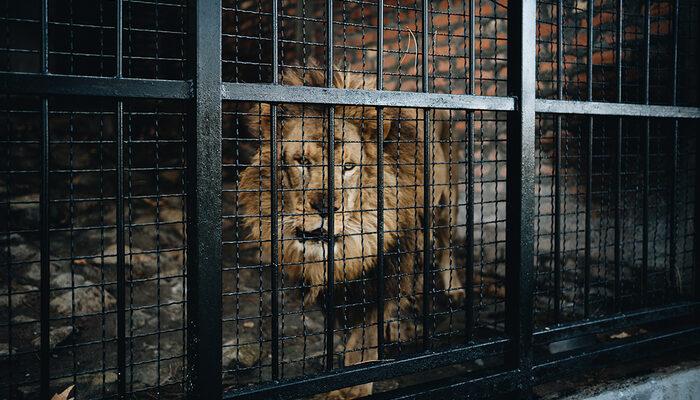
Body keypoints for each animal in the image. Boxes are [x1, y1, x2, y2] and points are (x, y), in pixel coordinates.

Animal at [237, 67, 464, 398]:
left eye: (348, 166)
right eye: (302, 162)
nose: (326, 208)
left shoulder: (385, 272)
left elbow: (363, 340)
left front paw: (353, 388)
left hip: (446, 201)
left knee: (446, 245)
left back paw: (453, 291)